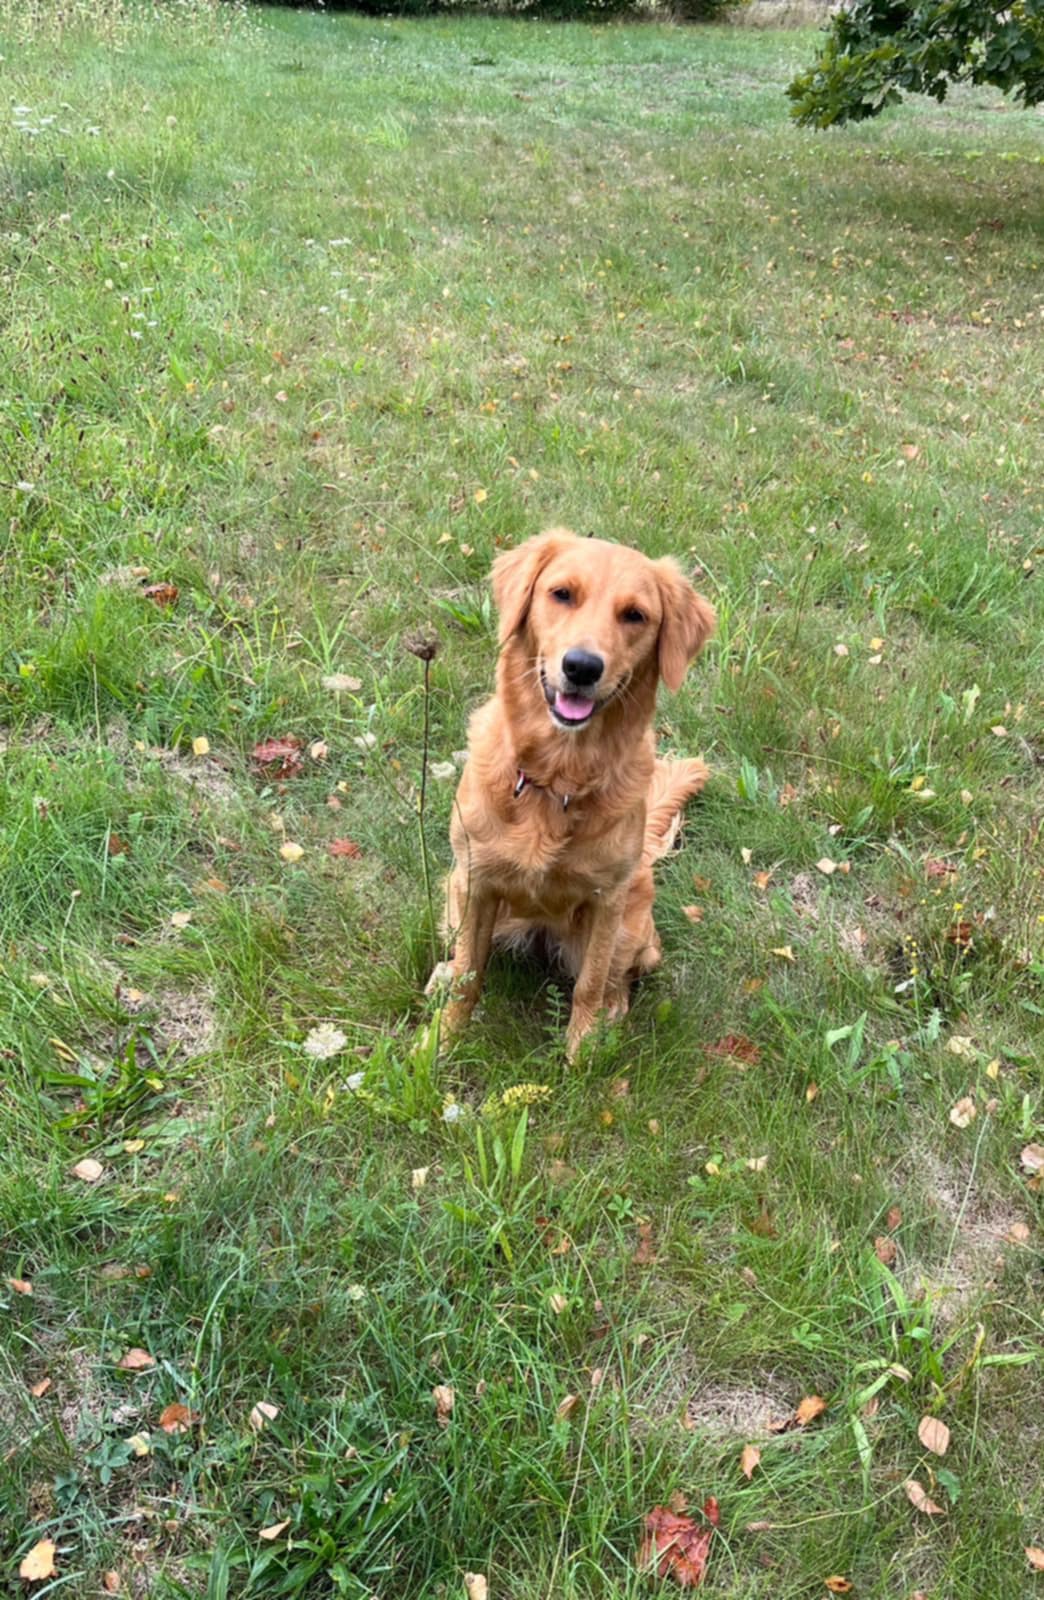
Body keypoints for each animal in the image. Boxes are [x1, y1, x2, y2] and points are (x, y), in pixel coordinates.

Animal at [433, 527, 715, 1060]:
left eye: (635, 615)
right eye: (561, 593)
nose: (582, 667)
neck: (556, 780)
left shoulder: (607, 903)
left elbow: (591, 983)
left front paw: (582, 1052)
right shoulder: (476, 882)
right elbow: (468, 974)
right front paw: (440, 1042)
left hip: (633, 926)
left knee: (619, 975)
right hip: (453, 895)